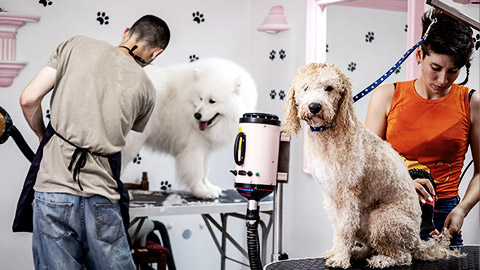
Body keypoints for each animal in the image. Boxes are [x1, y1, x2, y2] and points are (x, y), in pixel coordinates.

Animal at [124, 58, 258, 198]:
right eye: (200, 98)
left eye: (212, 101)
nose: (197, 115)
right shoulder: (193, 148)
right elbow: (197, 171)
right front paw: (201, 191)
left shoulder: (205, 148)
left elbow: (205, 171)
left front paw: (209, 188)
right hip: (131, 143)